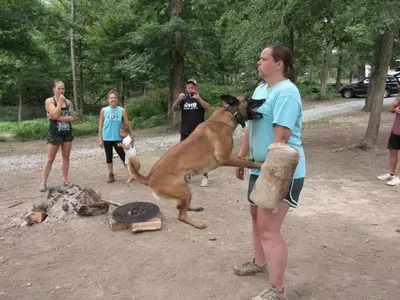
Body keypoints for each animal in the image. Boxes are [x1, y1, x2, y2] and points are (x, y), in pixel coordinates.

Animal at [128, 95, 266, 229]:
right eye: (248, 99)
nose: (264, 99)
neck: (228, 115)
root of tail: (149, 178)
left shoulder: (230, 156)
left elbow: (243, 159)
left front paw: (252, 158)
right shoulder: (226, 158)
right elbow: (249, 164)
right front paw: (261, 164)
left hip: (185, 189)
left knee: (180, 207)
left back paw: (194, 208)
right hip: (184, 191)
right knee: (181, 216)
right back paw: (198, 224)